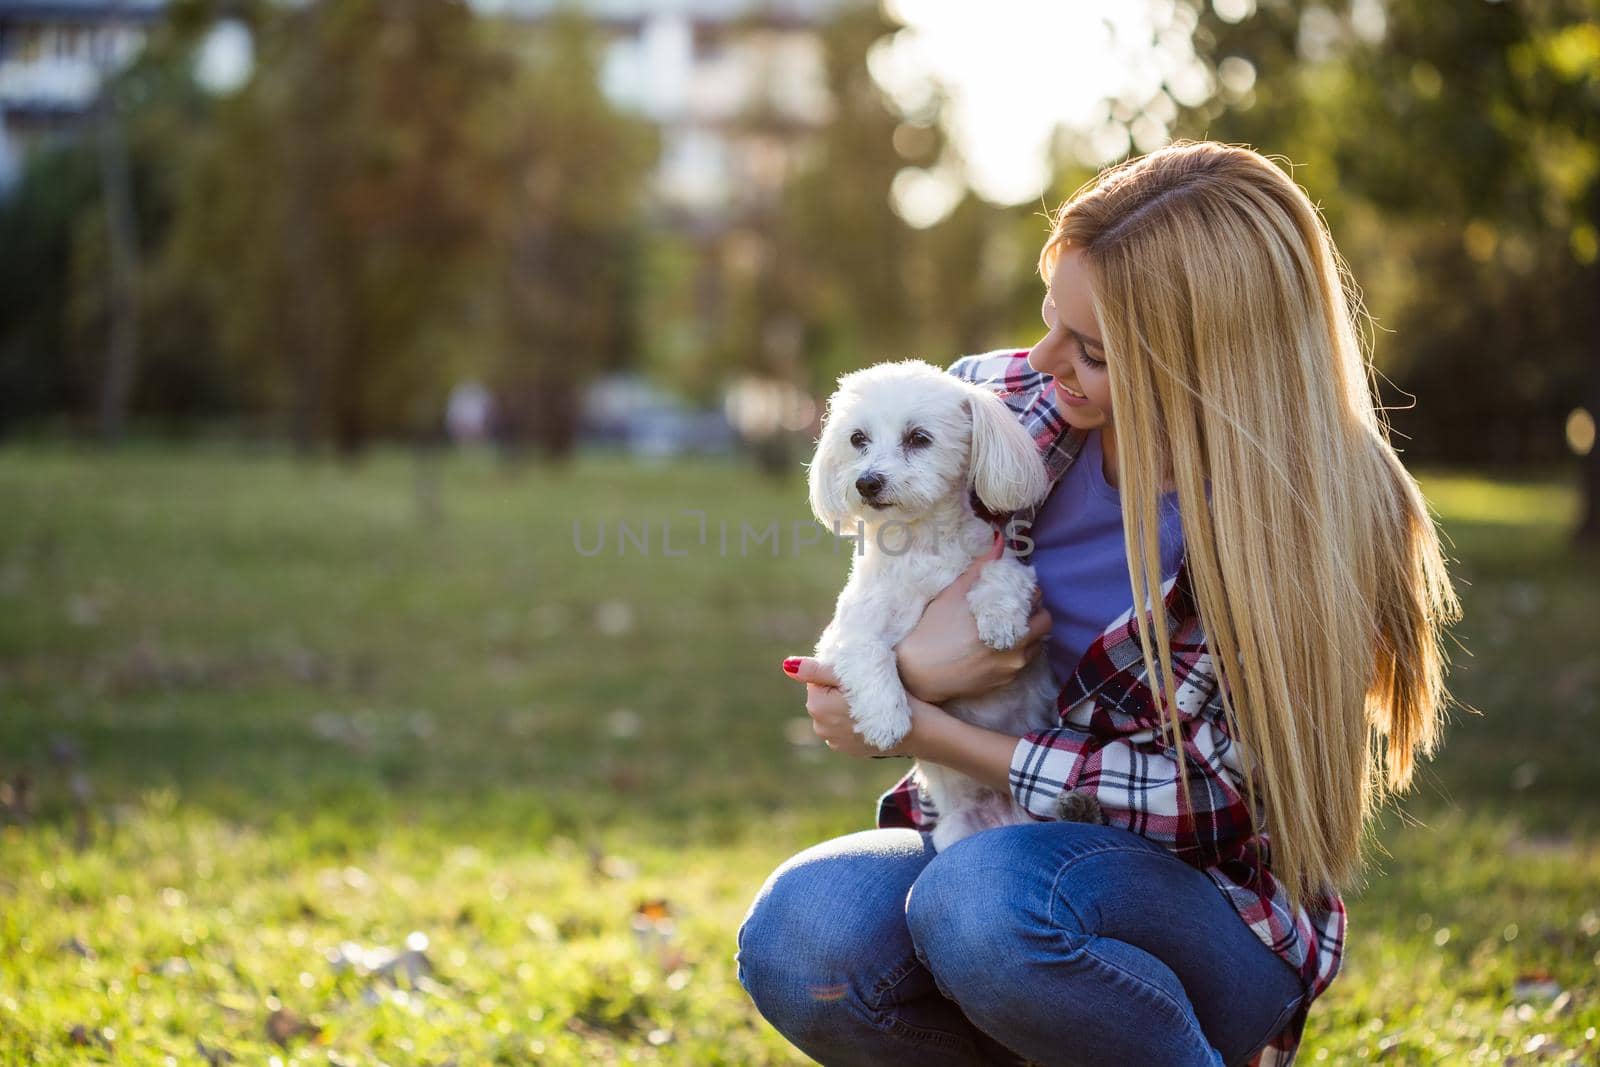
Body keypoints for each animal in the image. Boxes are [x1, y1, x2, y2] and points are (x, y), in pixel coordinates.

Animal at [812, 358, 1062, 851]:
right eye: (857, 439)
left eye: (918, 438)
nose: (867, 481)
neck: (920, 544)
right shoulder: (841, 638)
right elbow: (869, 651)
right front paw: (886, 719)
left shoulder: (1009, 565)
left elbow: (1003, 576)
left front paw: (999, 621)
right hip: (954, 831)